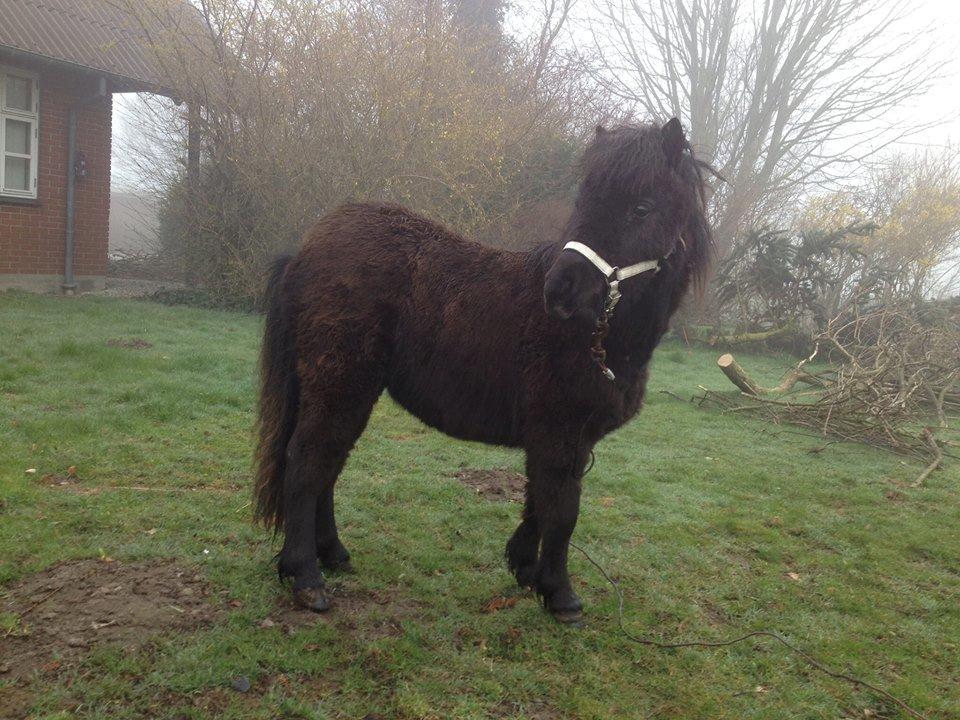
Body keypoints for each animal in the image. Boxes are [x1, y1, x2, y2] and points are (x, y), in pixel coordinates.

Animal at [255, 121, 712, 620]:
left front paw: (526, 569)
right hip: (339, 384)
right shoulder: (559, 434)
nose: (559, 290)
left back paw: (332, 554)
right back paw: (305, 576)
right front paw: (561, 595)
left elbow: (539, 501)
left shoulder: (563, 439)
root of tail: (307, 250)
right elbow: (562, 511)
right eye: (582, 201)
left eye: (641, 207)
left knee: (328, 465)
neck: (601, 340)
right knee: (308, 462)